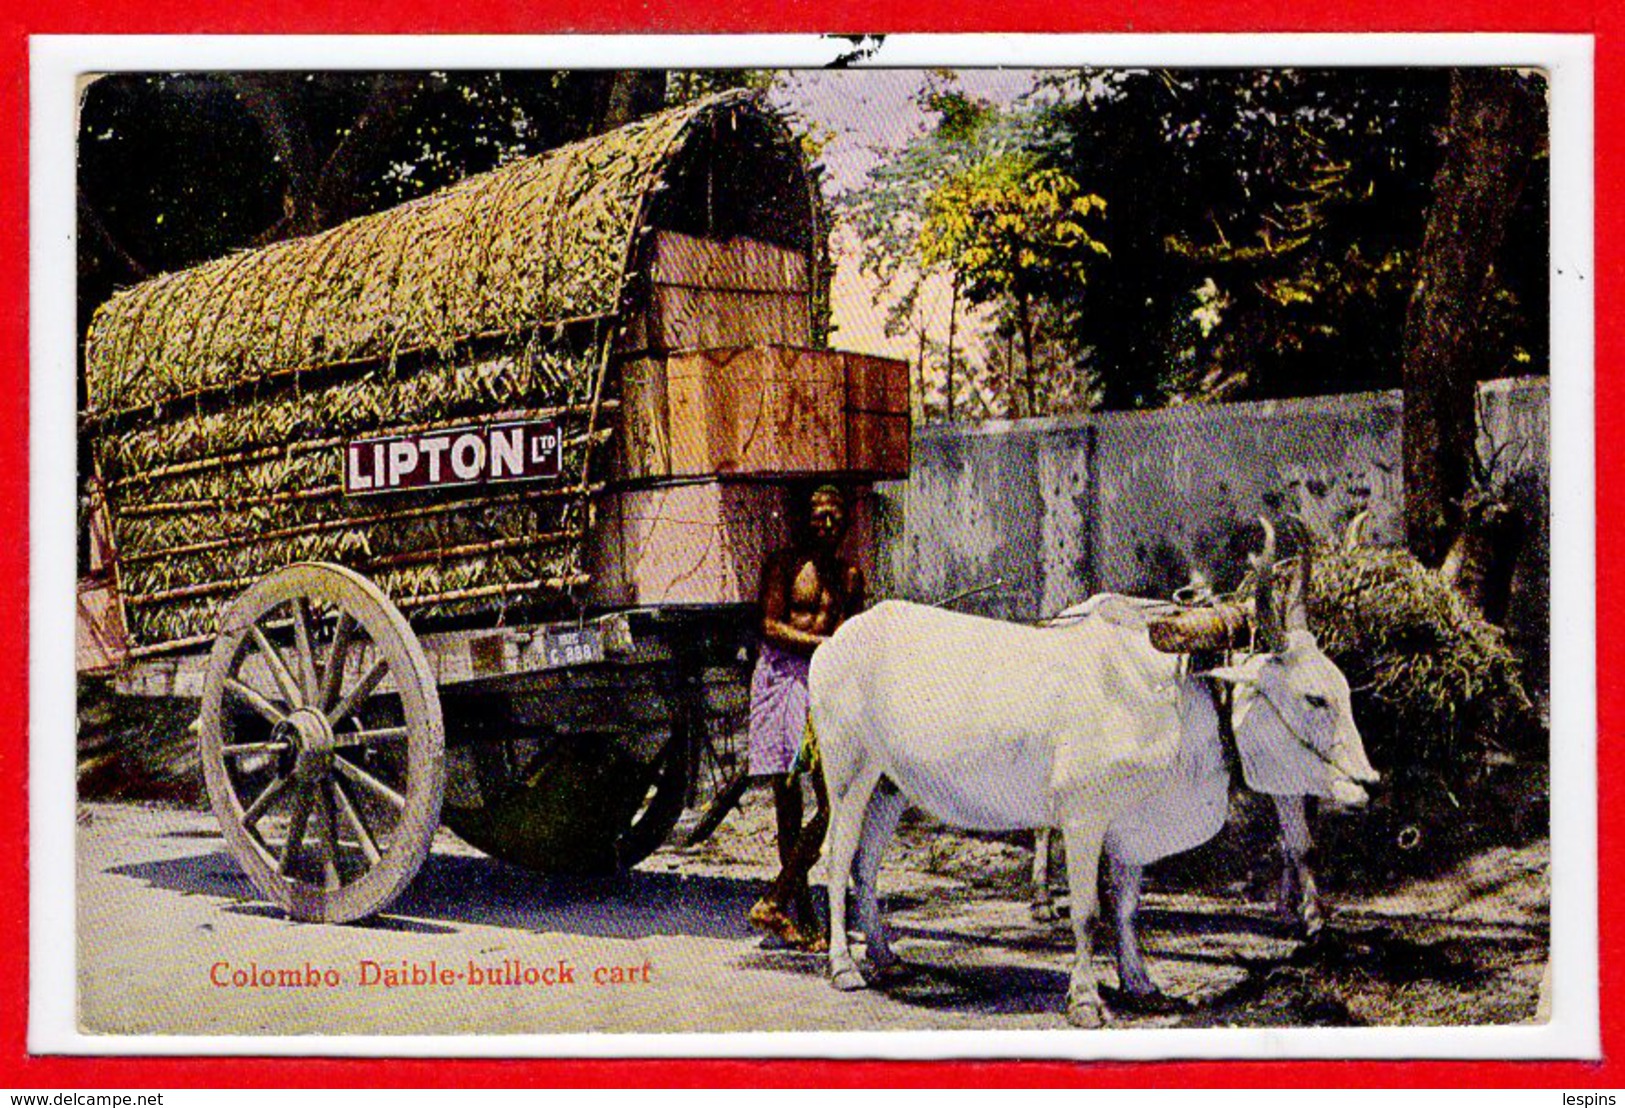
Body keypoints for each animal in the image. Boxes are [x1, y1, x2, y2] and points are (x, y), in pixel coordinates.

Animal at [809, 523, 1371, 1020]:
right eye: (1314, 698)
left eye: (1343, 689)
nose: (1367, 782)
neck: (1180, 697)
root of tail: (837, 639)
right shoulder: (1084, 818)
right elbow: (1087, 912)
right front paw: (1085, 1000)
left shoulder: (1131, 826)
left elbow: (1125, 909)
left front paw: (1140, 985)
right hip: (849, 773)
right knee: (836, 860)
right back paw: (843, 965)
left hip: (890, 786)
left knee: (866, 866)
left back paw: (885, 957)